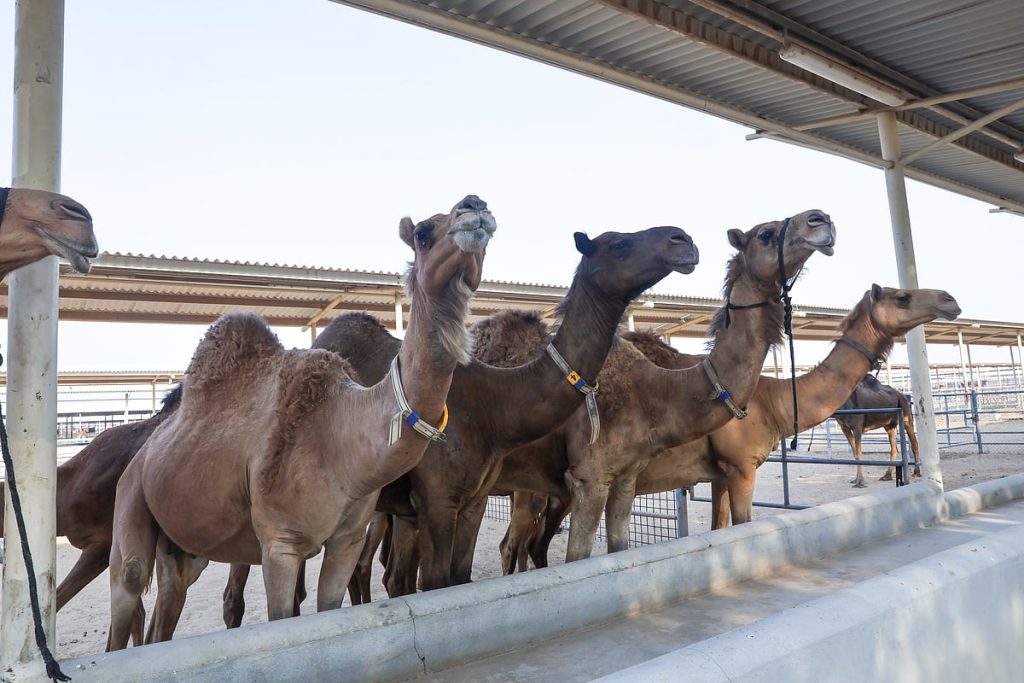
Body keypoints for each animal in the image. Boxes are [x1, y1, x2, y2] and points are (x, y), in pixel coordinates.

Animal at [105, 195, 497, 650]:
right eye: (422, 232)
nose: (474, 205)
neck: (344, 434)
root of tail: (145, 451)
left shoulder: (347, 541)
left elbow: (330, 606)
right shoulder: (281, 544)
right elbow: (282, 616)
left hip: (183, 542)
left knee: (167, 604)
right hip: (131, 495)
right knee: (129, 581)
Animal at [309, 225, 701, 595]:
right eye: (619, 243)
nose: (683, 240)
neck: (494, 400)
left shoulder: (484, 495)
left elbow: (475, 569)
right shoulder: (442, 496)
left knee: (391, 573)